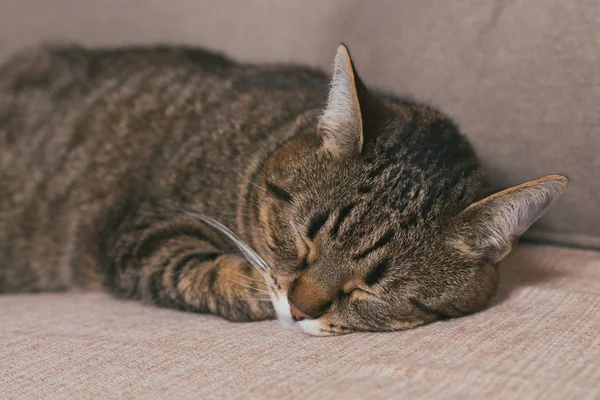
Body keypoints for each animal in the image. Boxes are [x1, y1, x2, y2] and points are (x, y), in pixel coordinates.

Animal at [0, 43, 568, 334]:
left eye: (375, 286)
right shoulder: (144, 227)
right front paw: (258, 285)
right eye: (305, 239)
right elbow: (202, 268)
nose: (300, 308)